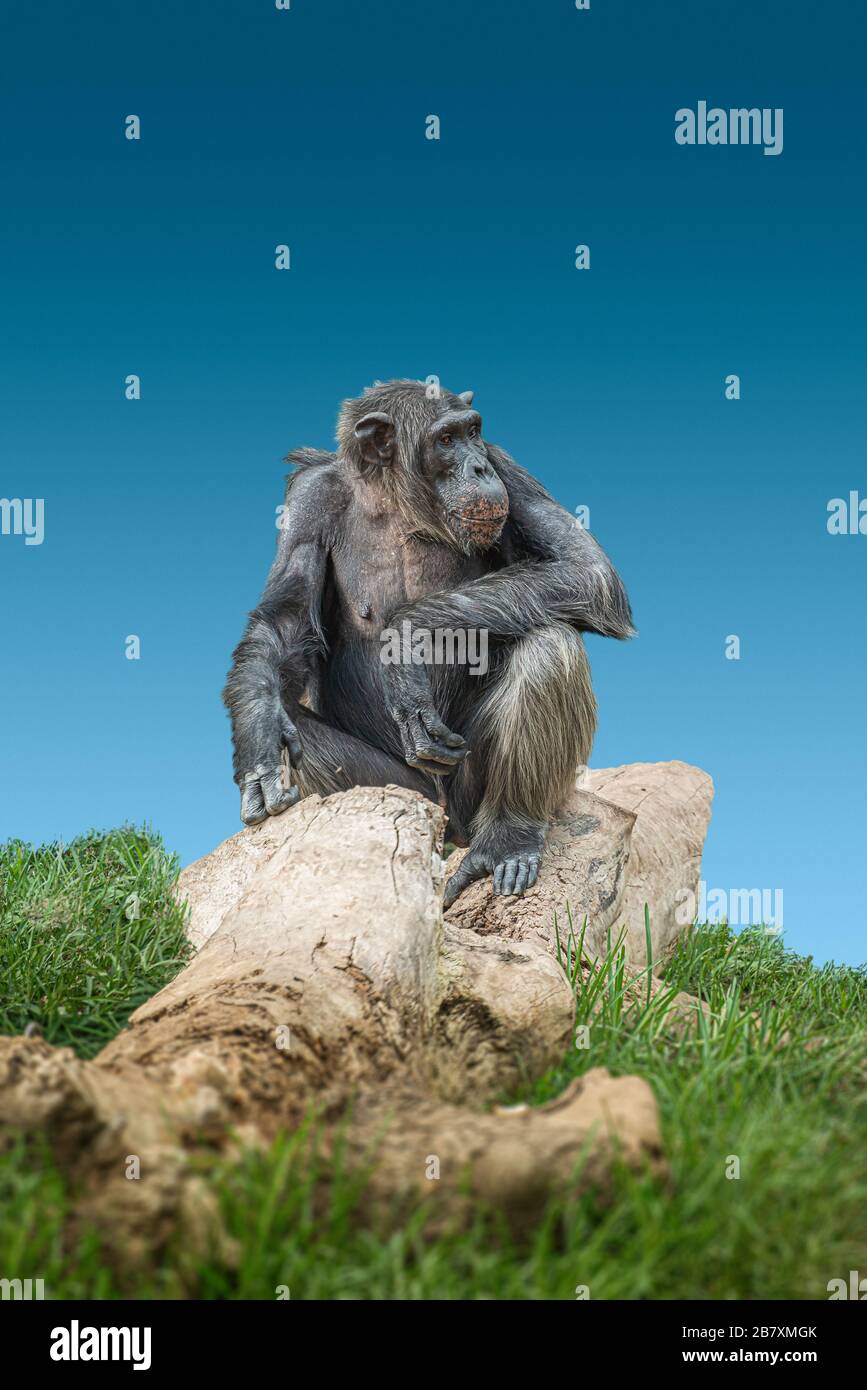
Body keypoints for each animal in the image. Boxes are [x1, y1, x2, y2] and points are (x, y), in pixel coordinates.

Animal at [222, 380, 630, 906]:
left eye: (473, 432)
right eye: (445, 440)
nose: (478, 467)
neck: (396, 500)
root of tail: (448, 827)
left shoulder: (508, 467)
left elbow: (586, 569)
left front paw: (407, 636)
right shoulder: (308, 503)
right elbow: (283, 624)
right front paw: (257, 743)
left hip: (467, 795)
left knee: (550, 641)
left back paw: (507, 839)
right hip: (400, 790)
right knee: (293, 723)